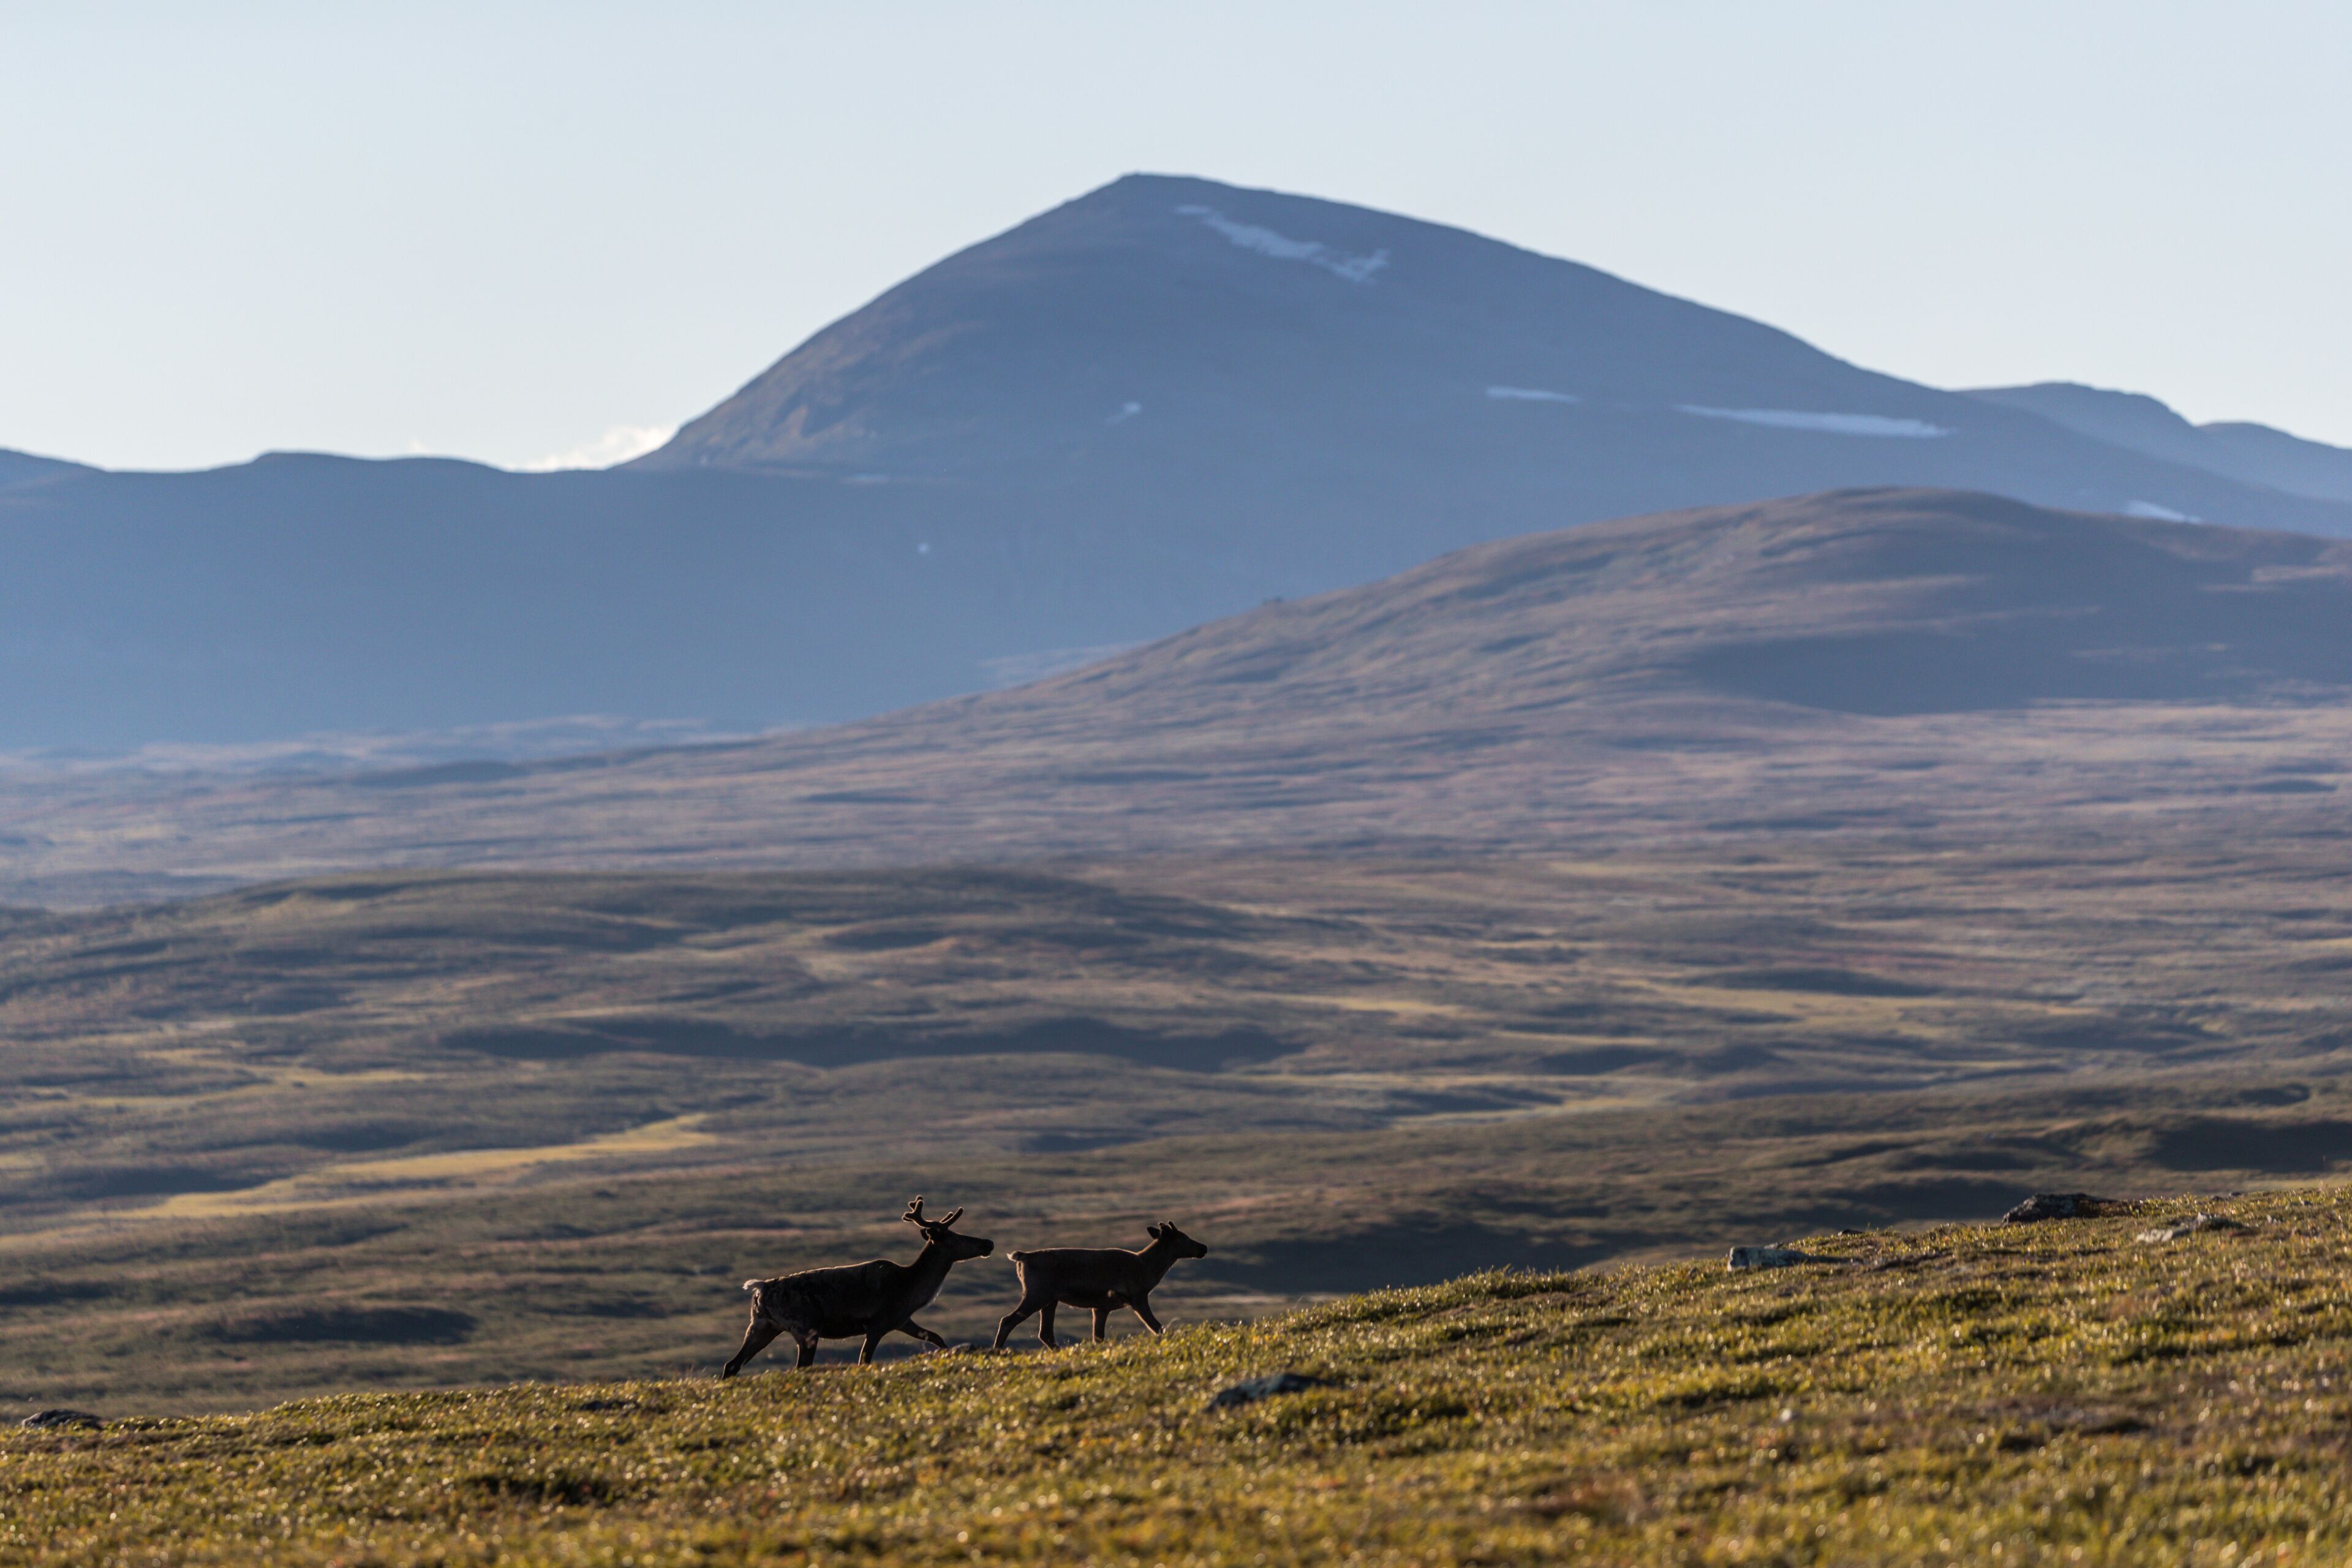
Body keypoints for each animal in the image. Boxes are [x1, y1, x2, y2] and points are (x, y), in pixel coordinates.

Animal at [722, 1197, 993, 1376]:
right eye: (955, 1236)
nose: (988, 1243)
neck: (910, 1287)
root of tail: (760, 1289)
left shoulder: (902, 1320)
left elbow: (937, 1337)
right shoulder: (876, 1324)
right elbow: (864, 1360)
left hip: (762, 1326)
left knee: (732, 1364)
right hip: (805, 1328)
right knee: (800, 1367)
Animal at [991, 1219, 1210, 1349]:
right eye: (1185, 1238)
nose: (1204, 1248)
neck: (1147, 1267)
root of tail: (1022, 1257)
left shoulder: (1101, 1308)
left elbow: (1098, 1337)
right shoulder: (1138, 1297)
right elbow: (1158, 1327)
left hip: (1050, 1300)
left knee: (1045, 1333)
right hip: (1037, 1294)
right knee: (1008, 1320)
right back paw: (998, 1350)